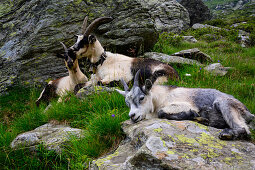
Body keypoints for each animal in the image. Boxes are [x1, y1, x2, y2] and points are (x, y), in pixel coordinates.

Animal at [116, 69, 254, 140]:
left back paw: (226, 133)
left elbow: (162, 113)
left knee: (244, 129)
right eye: (127, 103)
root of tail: (248, 112)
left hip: (225, 104)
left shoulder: (183, 104)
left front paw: (192, 114)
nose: (132, 116)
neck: (160, 97)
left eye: (142, 98)